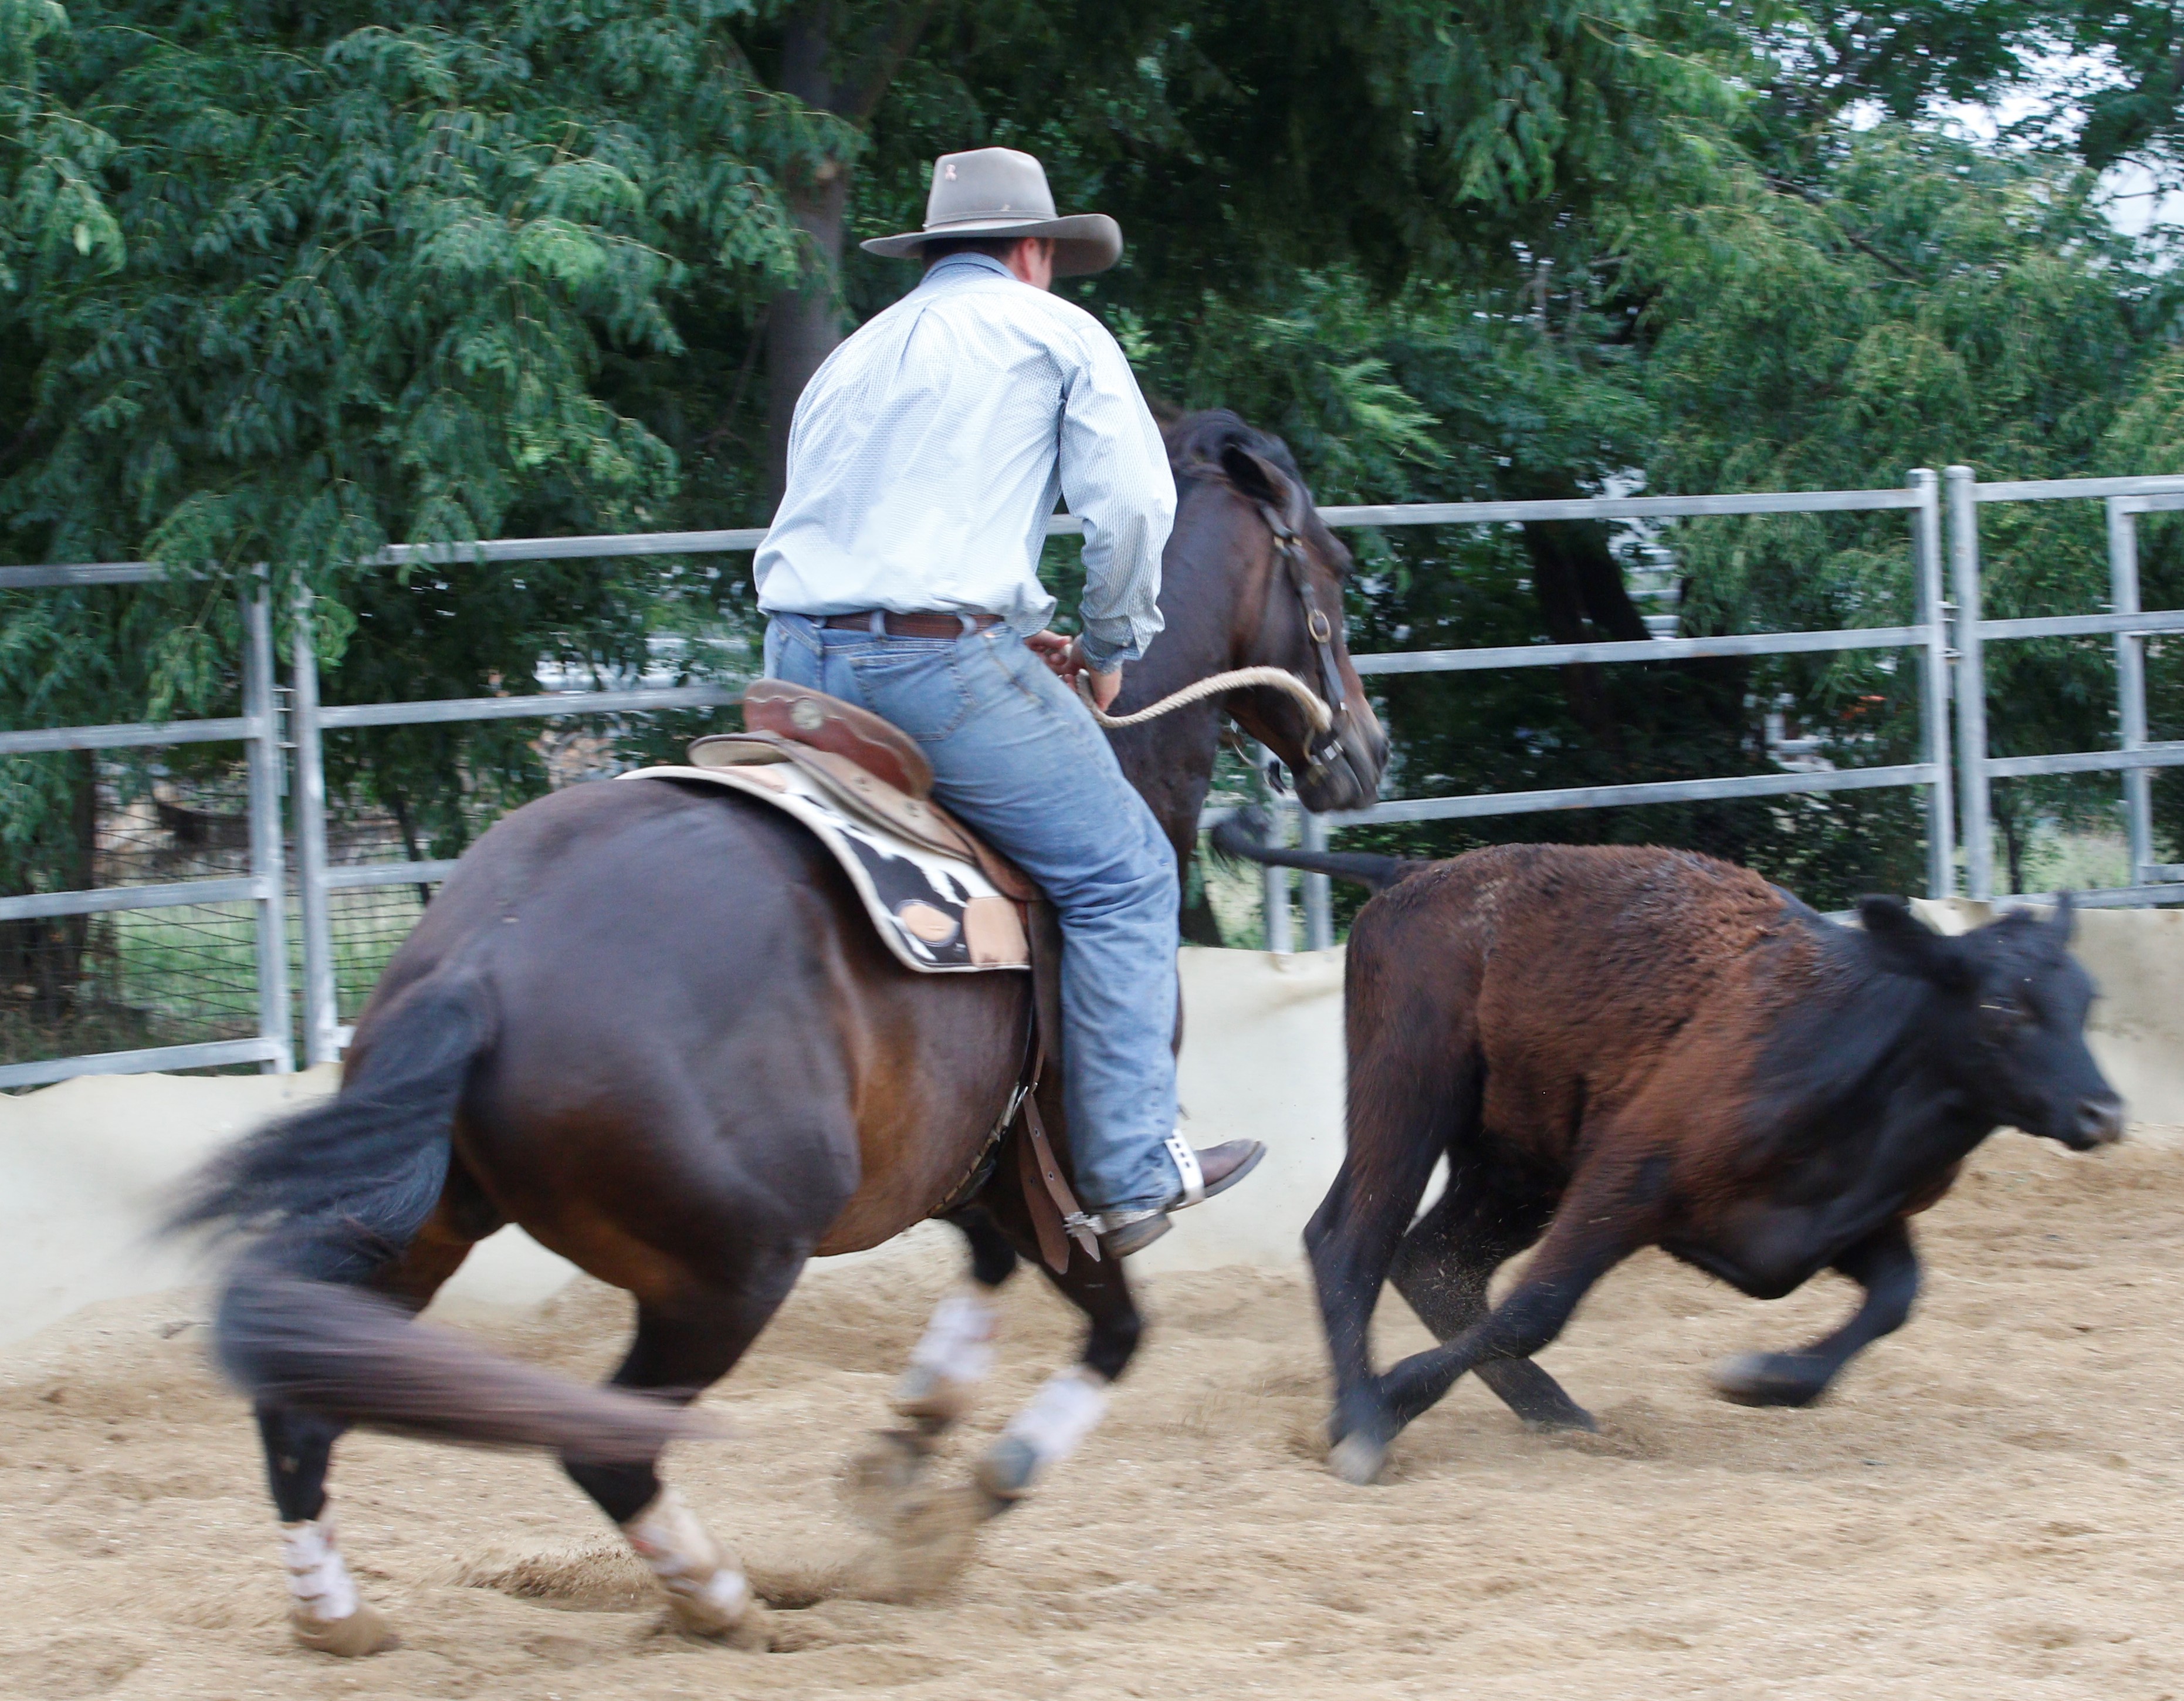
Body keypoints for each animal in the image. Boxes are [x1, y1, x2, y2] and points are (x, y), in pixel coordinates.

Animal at [171, 410, 1388, 1654]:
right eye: (1335, 566)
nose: (1367, 748)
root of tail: (480, 966)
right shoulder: (1069, 1187)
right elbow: (1118, 1331)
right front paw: (982, 1476)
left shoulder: (974, 1168)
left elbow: (986, 1290)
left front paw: (911, 1438)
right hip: (729, 1272)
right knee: (607, 1444)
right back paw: (720, 1598)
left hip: (415, 1223)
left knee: (305, 1403)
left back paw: (337, 1613)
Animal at [1210, 830, 2124, 1485]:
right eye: (2002, 1007)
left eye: (2086, 999)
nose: (2104, 1111)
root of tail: (1412, 871)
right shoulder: (1625, 1176)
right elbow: (1537, 1307)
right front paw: (1377, 1410)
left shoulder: (1842, 1218)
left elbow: (1896, 1296)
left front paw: (1763, 1377)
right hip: (1409, 1092)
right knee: (1351, 1243)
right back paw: (1365, 1411)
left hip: (1513, 1162)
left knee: (1434, 1259)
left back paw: (1553, 1412)